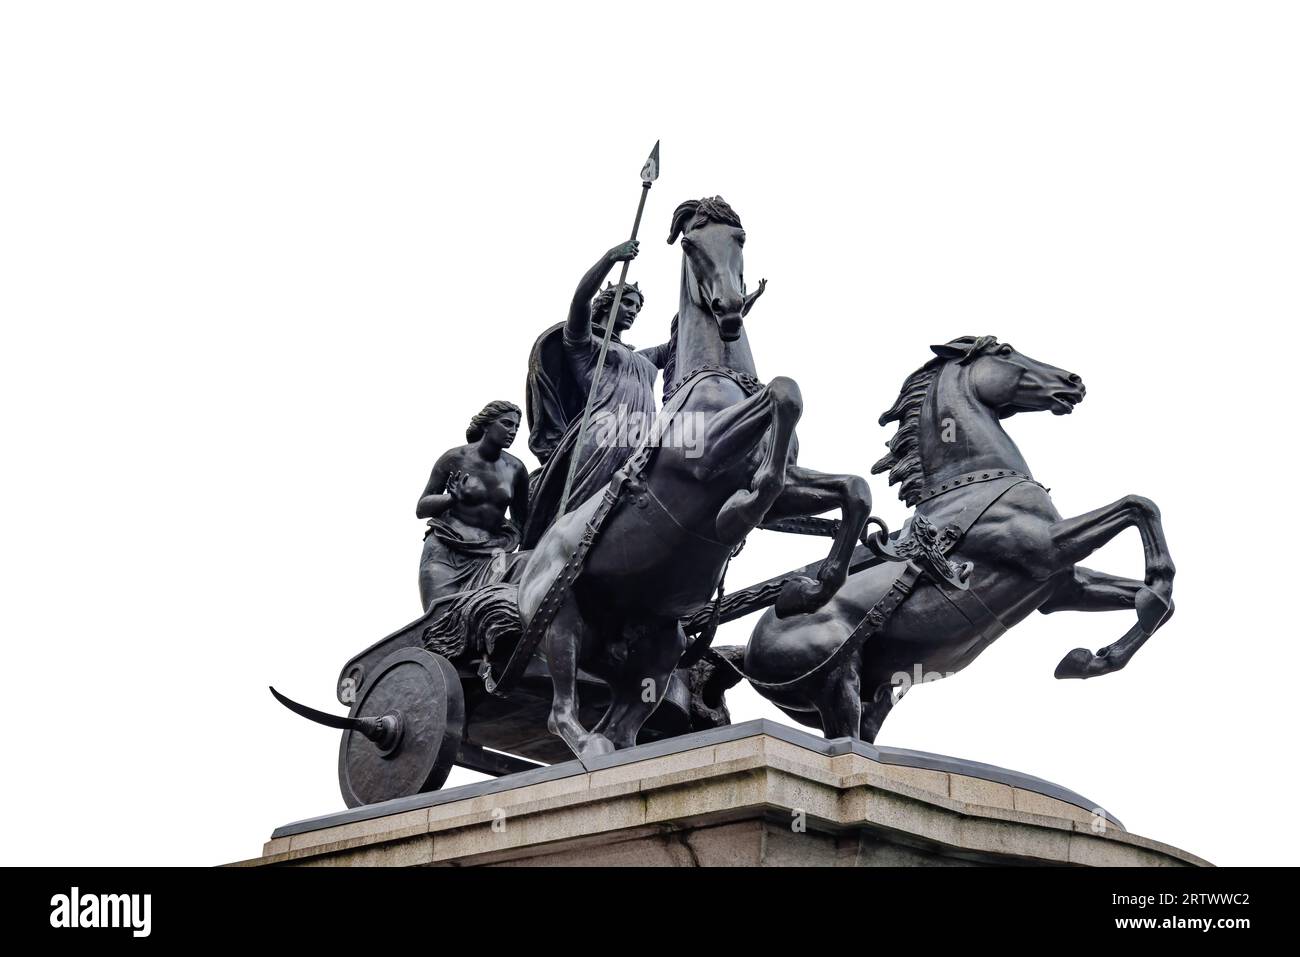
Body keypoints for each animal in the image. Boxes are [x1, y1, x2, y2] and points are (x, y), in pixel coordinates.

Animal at [517, 197, 873, 759]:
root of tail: (526, 567)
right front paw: (734, 522)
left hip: (658, 646)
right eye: (689, 244)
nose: (728, 309)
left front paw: (809, 592)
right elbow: (782, 400)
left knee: (621, 724)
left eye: (740, 237)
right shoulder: (708, 462)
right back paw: (590, 748)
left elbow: (851, 487)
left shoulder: (791, 486)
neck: (721, 382)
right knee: (562, 714)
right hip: (560, 620)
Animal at [733, 335, 1180, 738]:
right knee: (846, 742)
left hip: (875, 694)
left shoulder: (1061, 587)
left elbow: (1160, 601)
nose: (1073, 381)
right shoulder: (1047, 550)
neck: (974, 484)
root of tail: (747, 651)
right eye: (1005, 351)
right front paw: (1144, 600)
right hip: (837, 685)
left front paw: (1091, 659)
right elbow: (1138, 506)